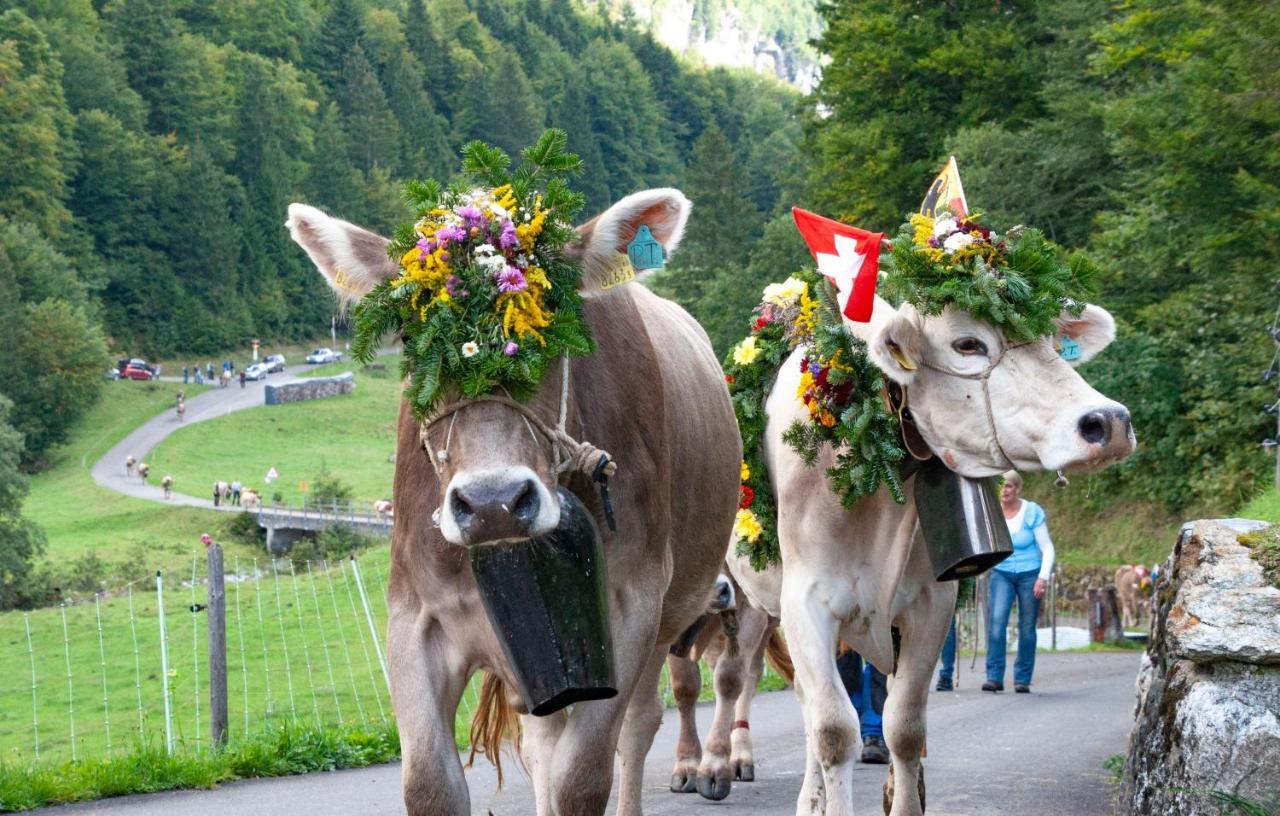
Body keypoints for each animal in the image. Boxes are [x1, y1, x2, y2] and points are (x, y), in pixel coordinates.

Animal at [285, 133, 737, 816]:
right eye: (411, 340)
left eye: (553, 326)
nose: (493, 501)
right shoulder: (414, 616)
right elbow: (431, 784)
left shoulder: (629, 604)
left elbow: (582, 779)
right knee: (541, 744)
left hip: (667, 615)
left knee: (638, 725)